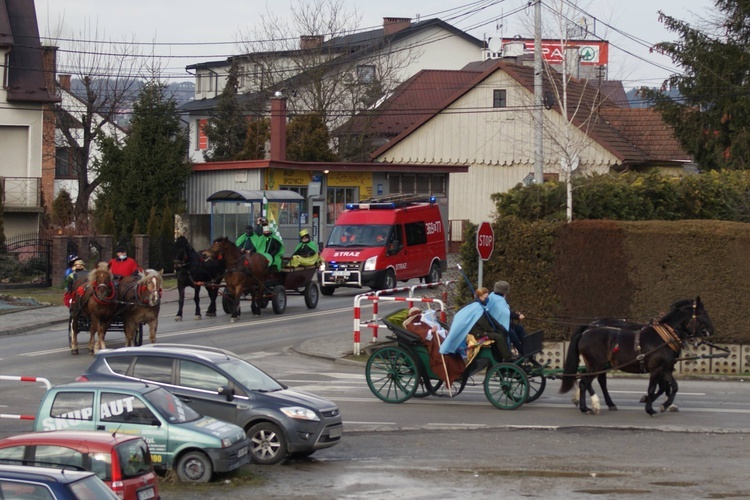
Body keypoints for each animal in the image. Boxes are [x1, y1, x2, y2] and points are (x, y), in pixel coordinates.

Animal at [560, 298, 712, 416]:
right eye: (702, 314)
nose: (710, 331)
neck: (663, 338)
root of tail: (587, 330)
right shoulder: (656, 369)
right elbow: (654, 388)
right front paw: (650, 408)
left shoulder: (665, 368)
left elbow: (672, 386)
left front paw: (665, 404)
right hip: (596, 364)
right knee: (585, 382)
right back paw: (592, 405)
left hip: (596, 364)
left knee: (590, 381)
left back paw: (591, 405)